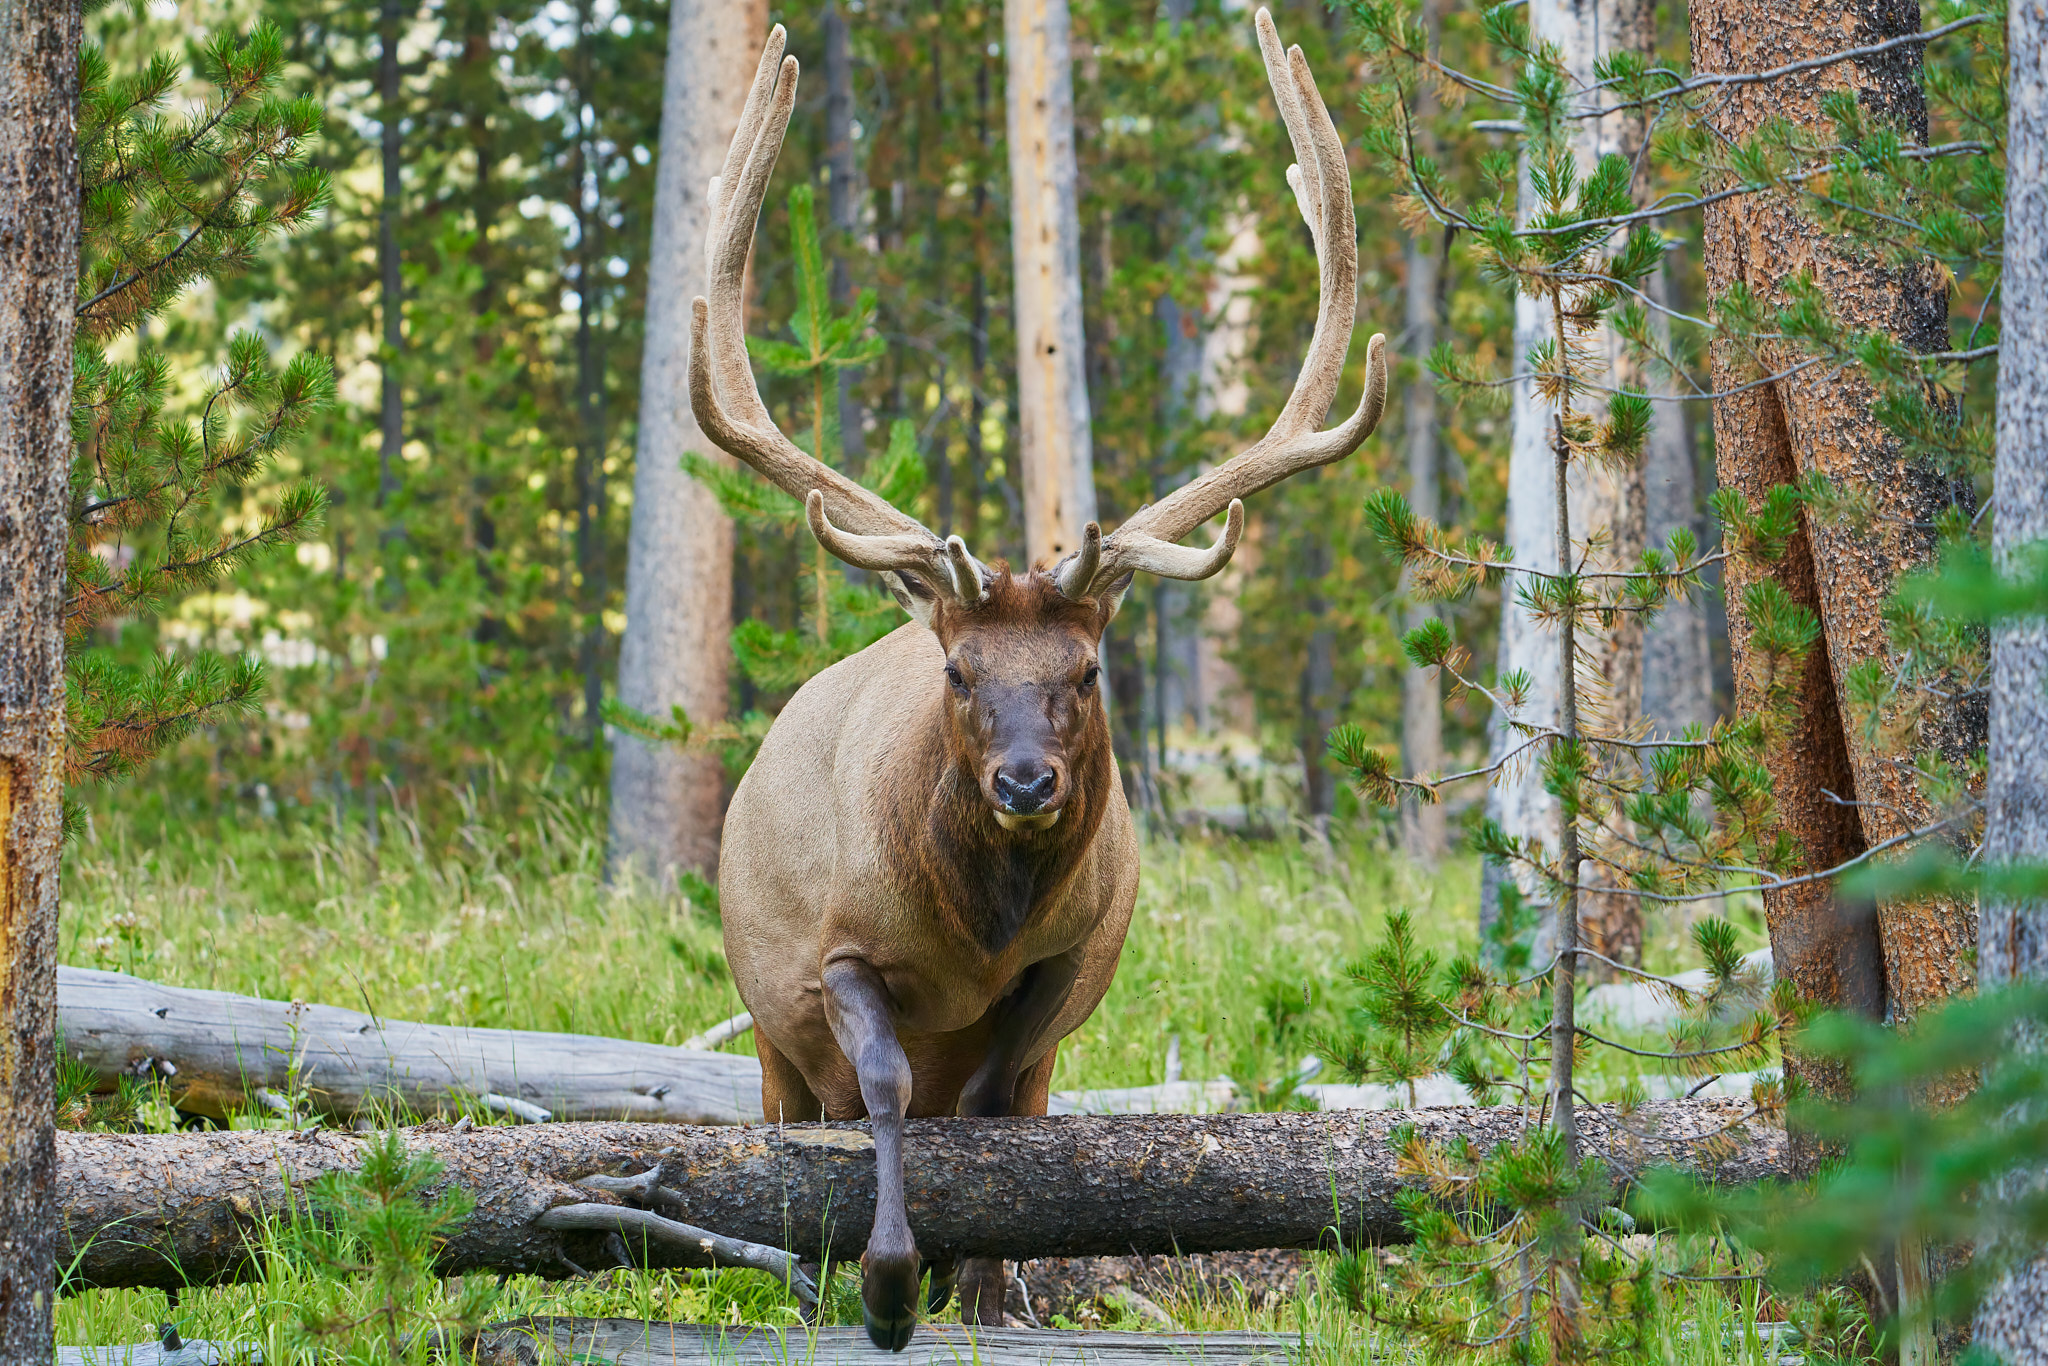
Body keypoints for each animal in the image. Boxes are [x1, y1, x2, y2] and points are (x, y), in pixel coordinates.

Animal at [692, 9, 1385, 1350]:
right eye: (959, 669)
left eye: (1089, 664)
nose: (1024, 782)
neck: (976, 923)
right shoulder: (836, 955)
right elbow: (889, 1088)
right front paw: (887, 1282)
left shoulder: (1062, 971)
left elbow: (997, 1111)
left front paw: (979, 1287)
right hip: (766, 1038)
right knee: (800, 1139)